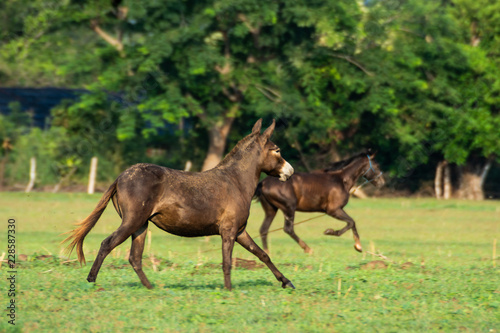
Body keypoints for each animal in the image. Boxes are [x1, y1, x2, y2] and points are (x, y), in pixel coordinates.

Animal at [64, 118, 294, 288]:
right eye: (277, 150)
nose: (290, 172)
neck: (235, 181)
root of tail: (121, 177)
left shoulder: (239, 231)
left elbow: (262, 254)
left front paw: (286, 282)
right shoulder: (228, 231)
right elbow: (227, 262)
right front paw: (229, 290)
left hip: (140, 225)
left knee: (135, 258)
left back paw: (151, 288)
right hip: (132, 221)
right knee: (108, 244)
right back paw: (91, 281)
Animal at [252, 150, 384, 252]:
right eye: (377, 166)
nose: (382, 182)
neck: (342, 180)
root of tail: (263, 183)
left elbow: (352, 222)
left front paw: (358, 246)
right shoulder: (333, 210)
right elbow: (351, 222)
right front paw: (330, 232)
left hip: (271, 210)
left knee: (263, 229)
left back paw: (266, 252)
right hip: (288, 208)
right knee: (288, 229)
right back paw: (307, 249)